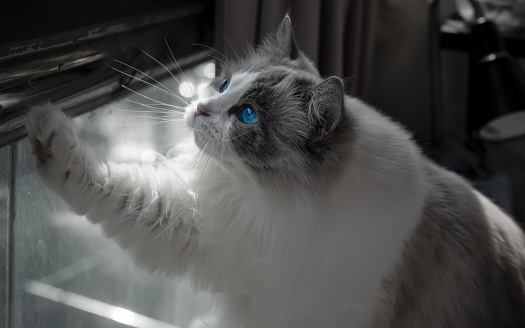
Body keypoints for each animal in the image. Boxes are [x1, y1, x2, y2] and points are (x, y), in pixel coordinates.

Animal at [23, 14, 524, 328]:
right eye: (224, 84)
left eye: (247, 116)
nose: (198, 107)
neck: (279, 207)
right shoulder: (213, 232)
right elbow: (112, 188)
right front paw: (47, 134)